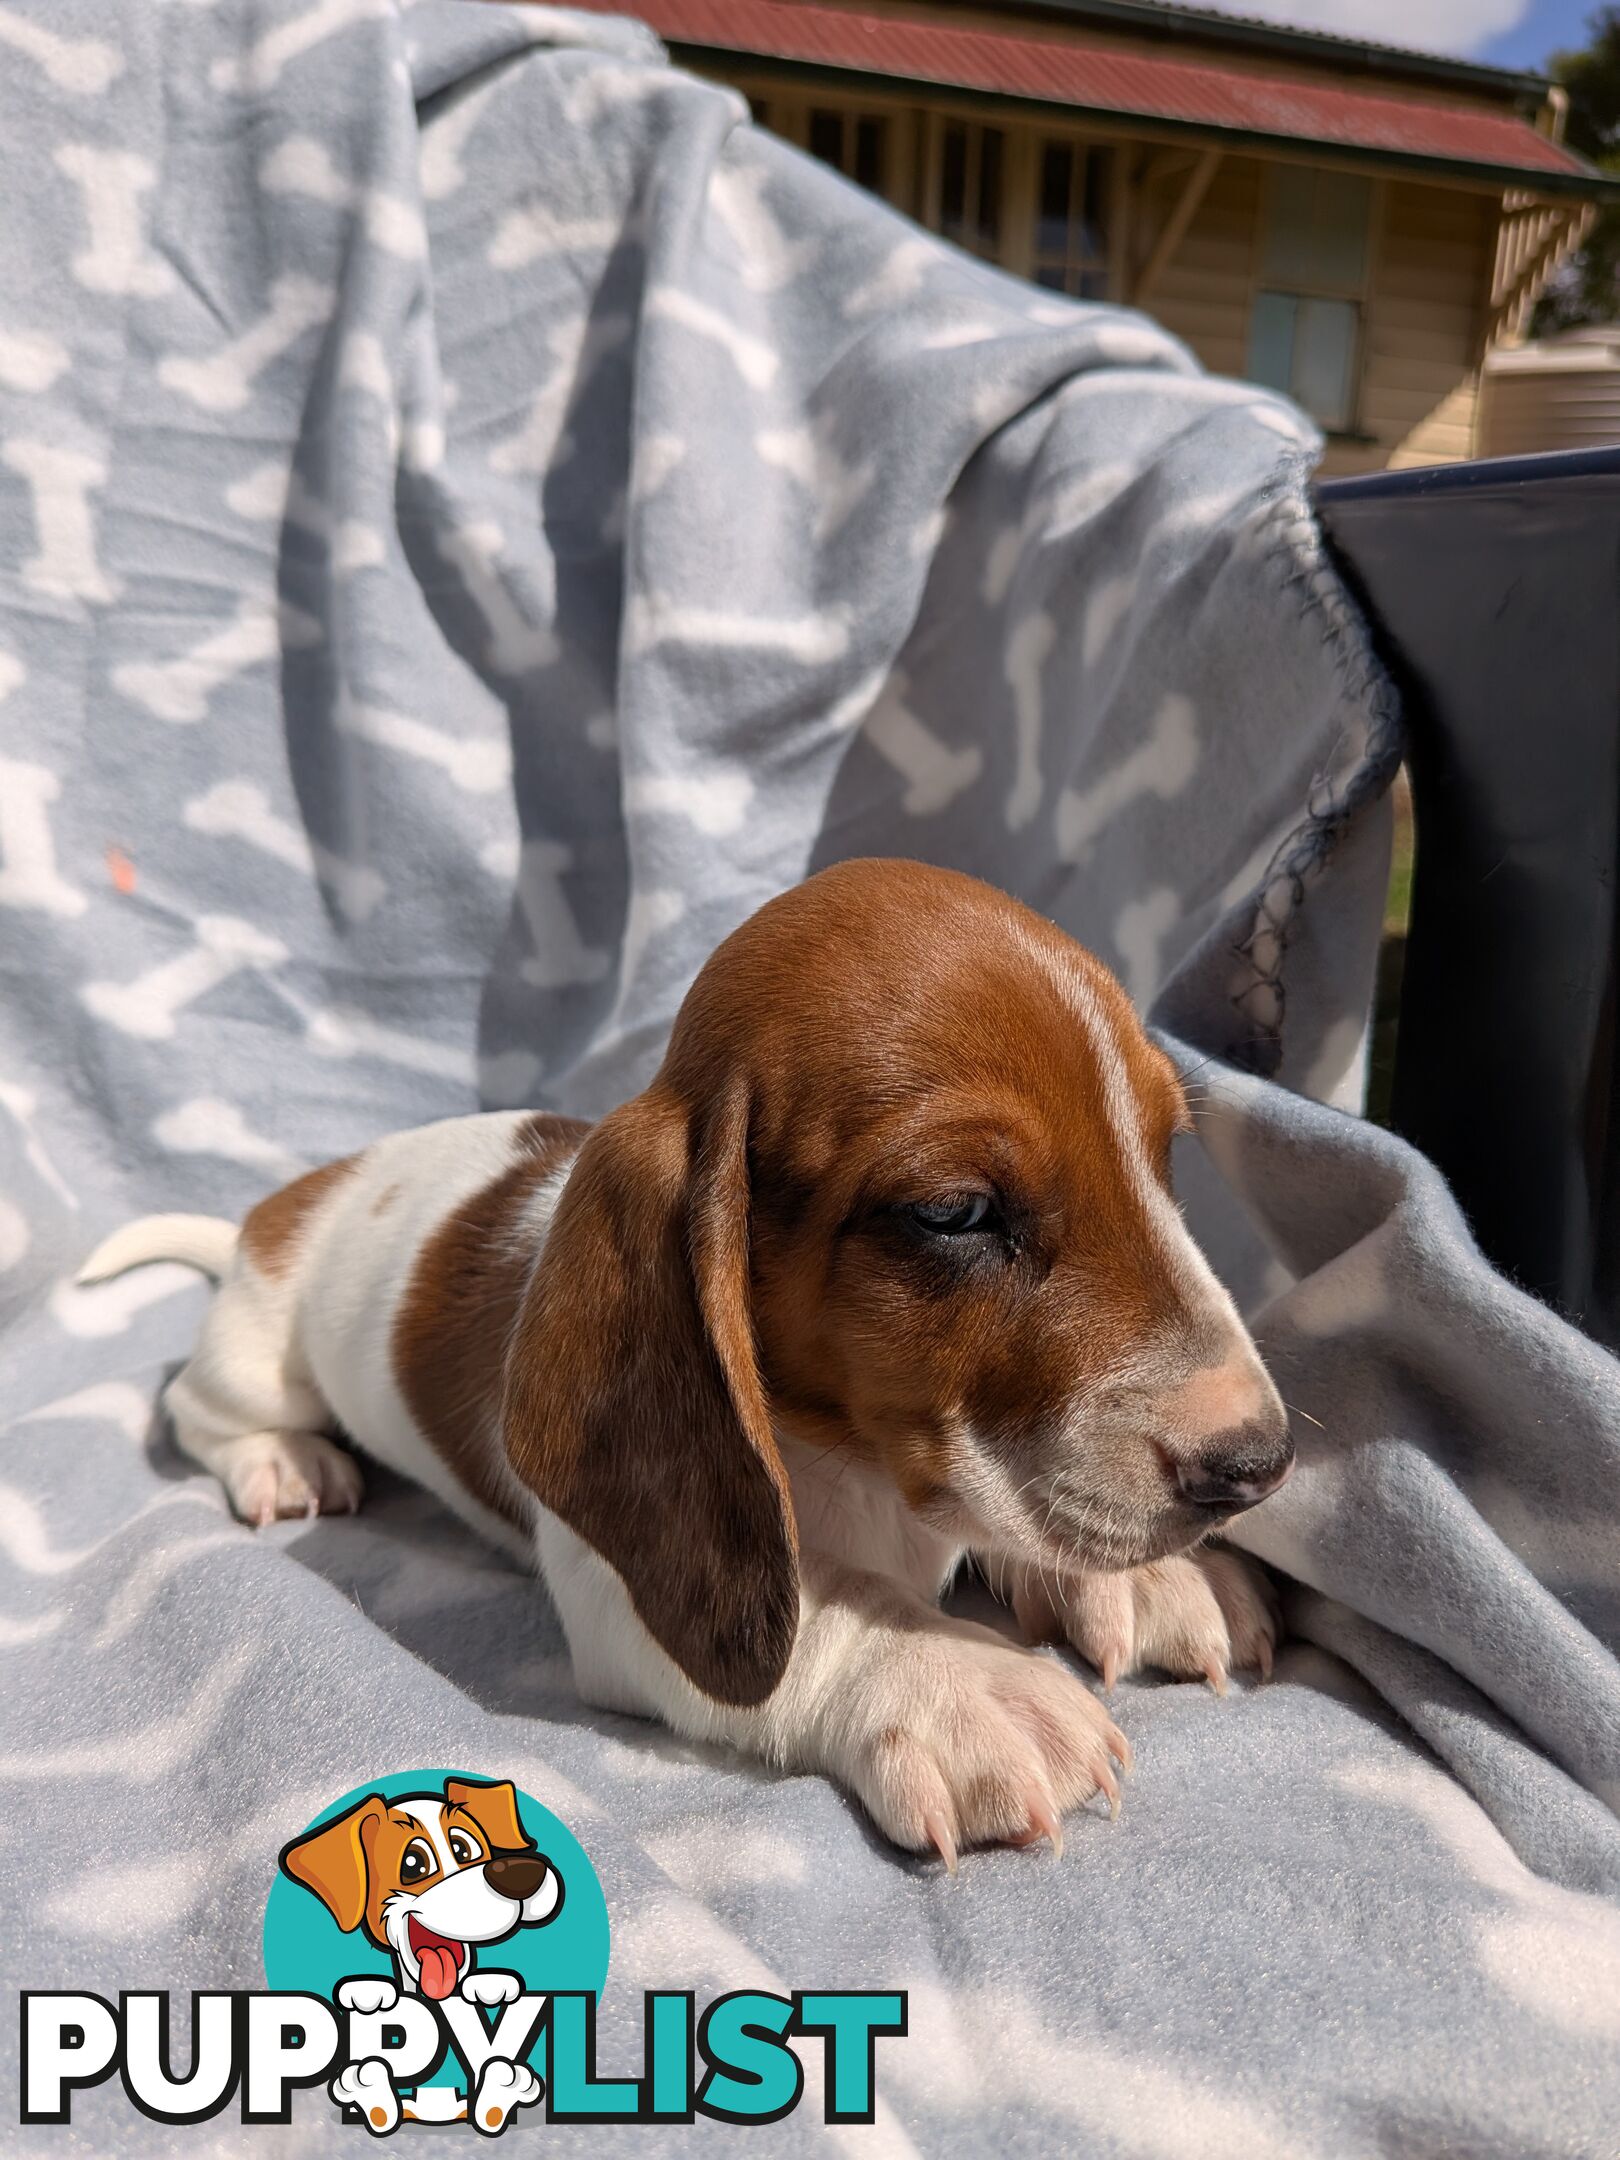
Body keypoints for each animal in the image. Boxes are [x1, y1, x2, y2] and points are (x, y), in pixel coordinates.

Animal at [85, 855, 1296, 1857]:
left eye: (1162, 1155)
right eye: (954, 1213)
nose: (1257, 1466)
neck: (845, 1455)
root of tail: (282, 1207)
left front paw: (1150, 1581)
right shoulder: (628, 1599)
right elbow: (825, 1608)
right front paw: (961, 1684)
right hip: (256, 1357)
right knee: (200, 1412)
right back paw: (283, 1462)